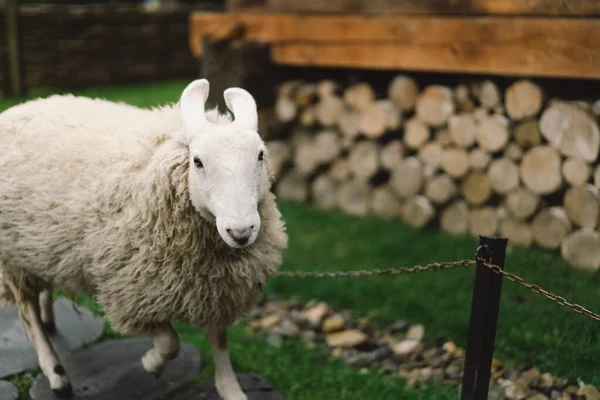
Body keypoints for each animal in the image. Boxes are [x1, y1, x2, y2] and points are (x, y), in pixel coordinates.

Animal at [0, 79, 288, 400]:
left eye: (260, 155)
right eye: (197, 161)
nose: (241, 232)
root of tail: (22, 106)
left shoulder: (214, 289)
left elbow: (219, 339)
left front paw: (230, 388)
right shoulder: (132, 291)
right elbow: (170, 343)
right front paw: (152, 364)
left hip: (37, 247)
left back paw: (49, 318)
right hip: (12, 254)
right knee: (27, 311)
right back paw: (55, 372)